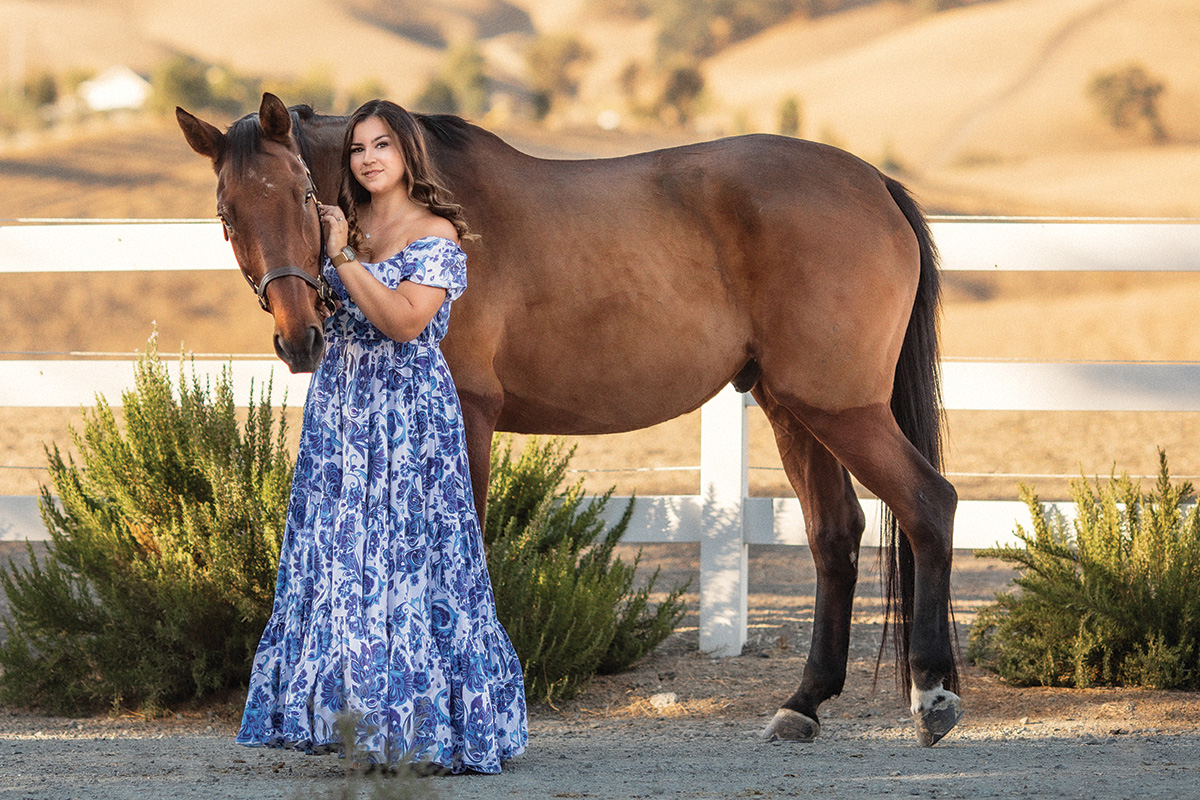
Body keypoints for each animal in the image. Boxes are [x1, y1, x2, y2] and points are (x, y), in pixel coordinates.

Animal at [175, 95, 964, 753]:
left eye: (304, 195)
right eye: (228, 214)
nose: (298, 340)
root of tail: (874, 184)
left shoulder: (470, 411)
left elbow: (469, 544)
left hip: (841, 409)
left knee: (929, 505)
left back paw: (933, 696)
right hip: (792, 406)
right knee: (835, 535)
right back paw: (803, 705)